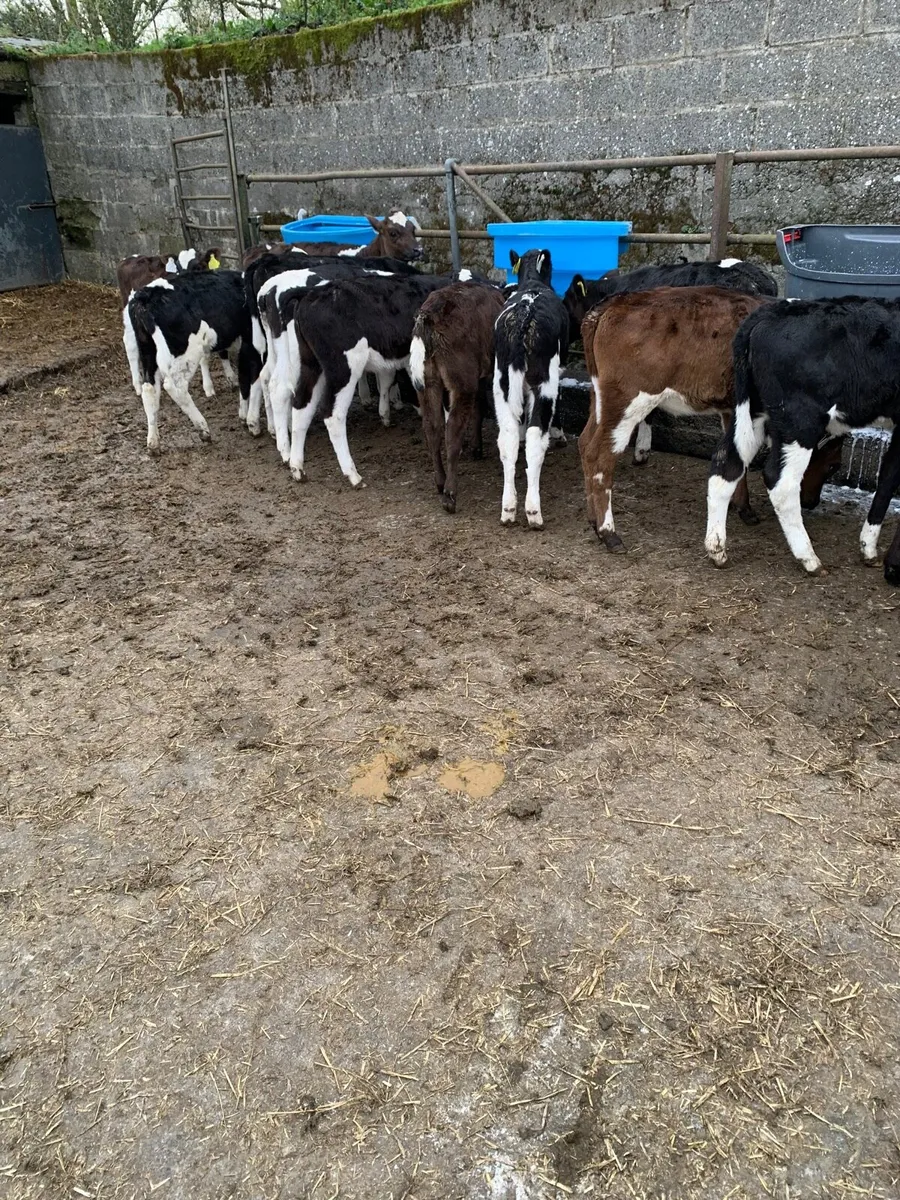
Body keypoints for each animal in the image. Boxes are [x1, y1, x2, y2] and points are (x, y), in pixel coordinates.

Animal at [126, 271, 260, 454]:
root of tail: (144, 296)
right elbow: (250, 378)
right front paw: (250, 420)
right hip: (185, 353)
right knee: (175, 386)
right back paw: (203, 428)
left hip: (148, 350)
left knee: (150, 389)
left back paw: (153, 442)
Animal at [409, 280, 506, 513]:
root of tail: (429, 316)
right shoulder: (484, 375)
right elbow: (480, 406)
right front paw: (476, 448)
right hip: (462, 382)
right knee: (452, 430)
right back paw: (450, 495)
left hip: (427, 382)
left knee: (432, 427)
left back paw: (440, 482)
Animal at [492, 248, 570, 529]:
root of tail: (525, 315)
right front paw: (559, 433)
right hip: (544, 382)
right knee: (537, 437)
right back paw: (533, 510)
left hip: (501, 384)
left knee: (507, 438)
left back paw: (508, 507)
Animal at [578, 286, 772, 552]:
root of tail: (613, 302)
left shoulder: (731, 409)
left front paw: (744, 507)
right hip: (627, 400)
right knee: (599, 454)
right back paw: (609, 533)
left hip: (600, 397)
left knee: (585, 442)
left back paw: (593, 522)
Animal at [705, 297, 900, 575]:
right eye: (834, 466)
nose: (811, 502)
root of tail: (771, 311)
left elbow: (887, 478)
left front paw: (869, 548)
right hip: (800, 418)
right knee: (780, 482)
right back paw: (810, 559)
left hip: (752, 409)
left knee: (726, 462)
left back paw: (717, 549)